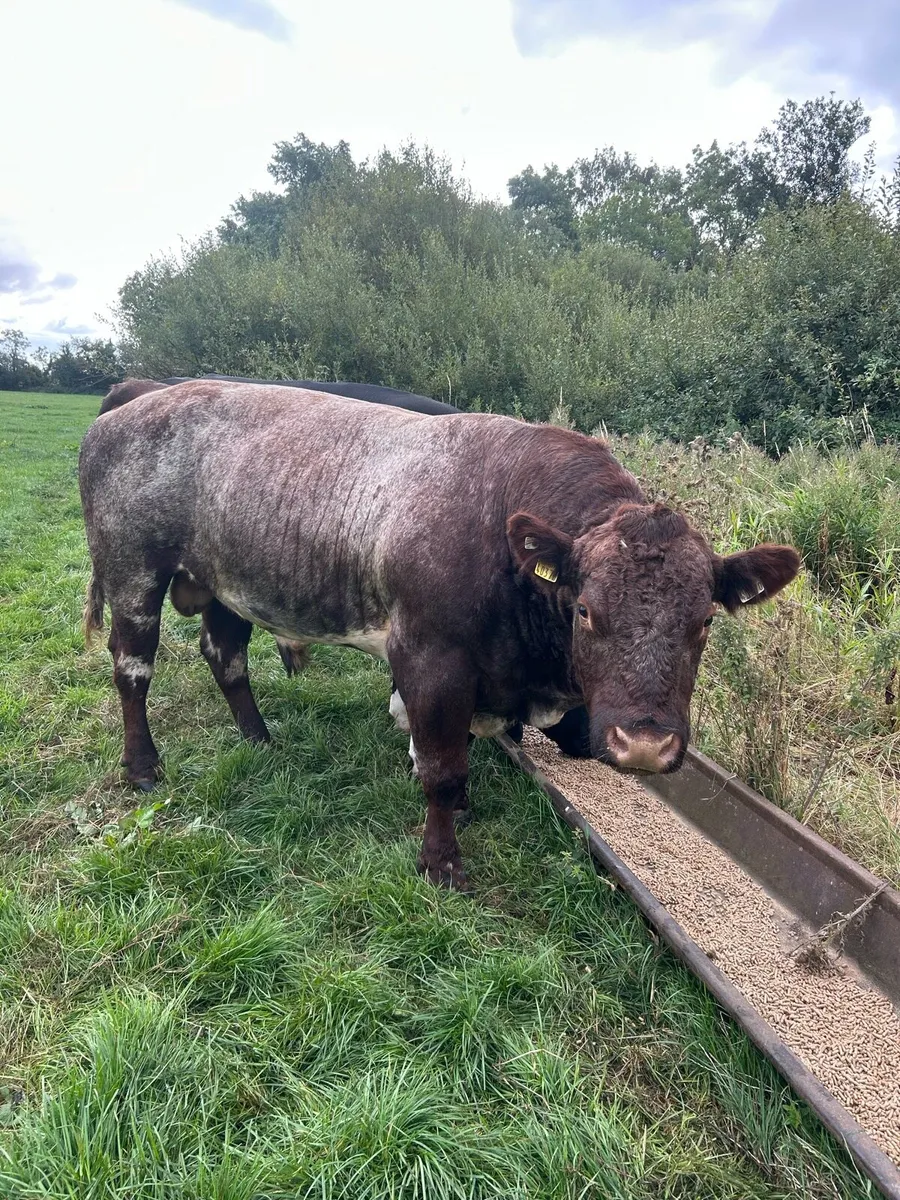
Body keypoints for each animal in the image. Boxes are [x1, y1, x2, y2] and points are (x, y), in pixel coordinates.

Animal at [79, 380, 800, 889]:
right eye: (586, 611)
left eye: (704, 620)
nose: (645, 743)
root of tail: (137, 399)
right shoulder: (431, 661)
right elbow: (442, 769)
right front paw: (442, 861)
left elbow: (461, 758)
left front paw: (466, 811)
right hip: (133, 574)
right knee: (132, 670)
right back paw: (143, 768)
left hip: (227, 581)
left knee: (225, 656)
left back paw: (259, 739)